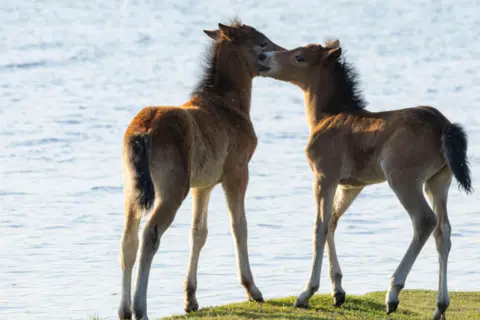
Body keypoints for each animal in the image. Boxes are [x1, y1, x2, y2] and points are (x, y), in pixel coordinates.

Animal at [118, 20, 284, 320]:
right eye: (263, 42)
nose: (281, 55)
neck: (230, 105)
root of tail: (144, 132)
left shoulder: (203, 184)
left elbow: (198, 232)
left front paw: (191, 299)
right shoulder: (236, 173)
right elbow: (239, 226)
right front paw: (252, 289)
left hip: (132, 190)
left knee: (128, 240)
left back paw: (124, 311)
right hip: (172, 191)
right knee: (150, 235)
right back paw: (140, 308)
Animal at [258, 40, 472, 320]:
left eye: (299, 57)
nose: (263, 57)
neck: (328, 116)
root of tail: (443, 125)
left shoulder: (324, 176)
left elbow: (319, 227)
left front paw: (306, 293)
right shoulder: (352, 186)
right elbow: (332, 222)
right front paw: (338, 291)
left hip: (402, 179)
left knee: (425, 221)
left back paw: (392, 293)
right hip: (438, 181)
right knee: (443, 231)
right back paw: (440, 306)